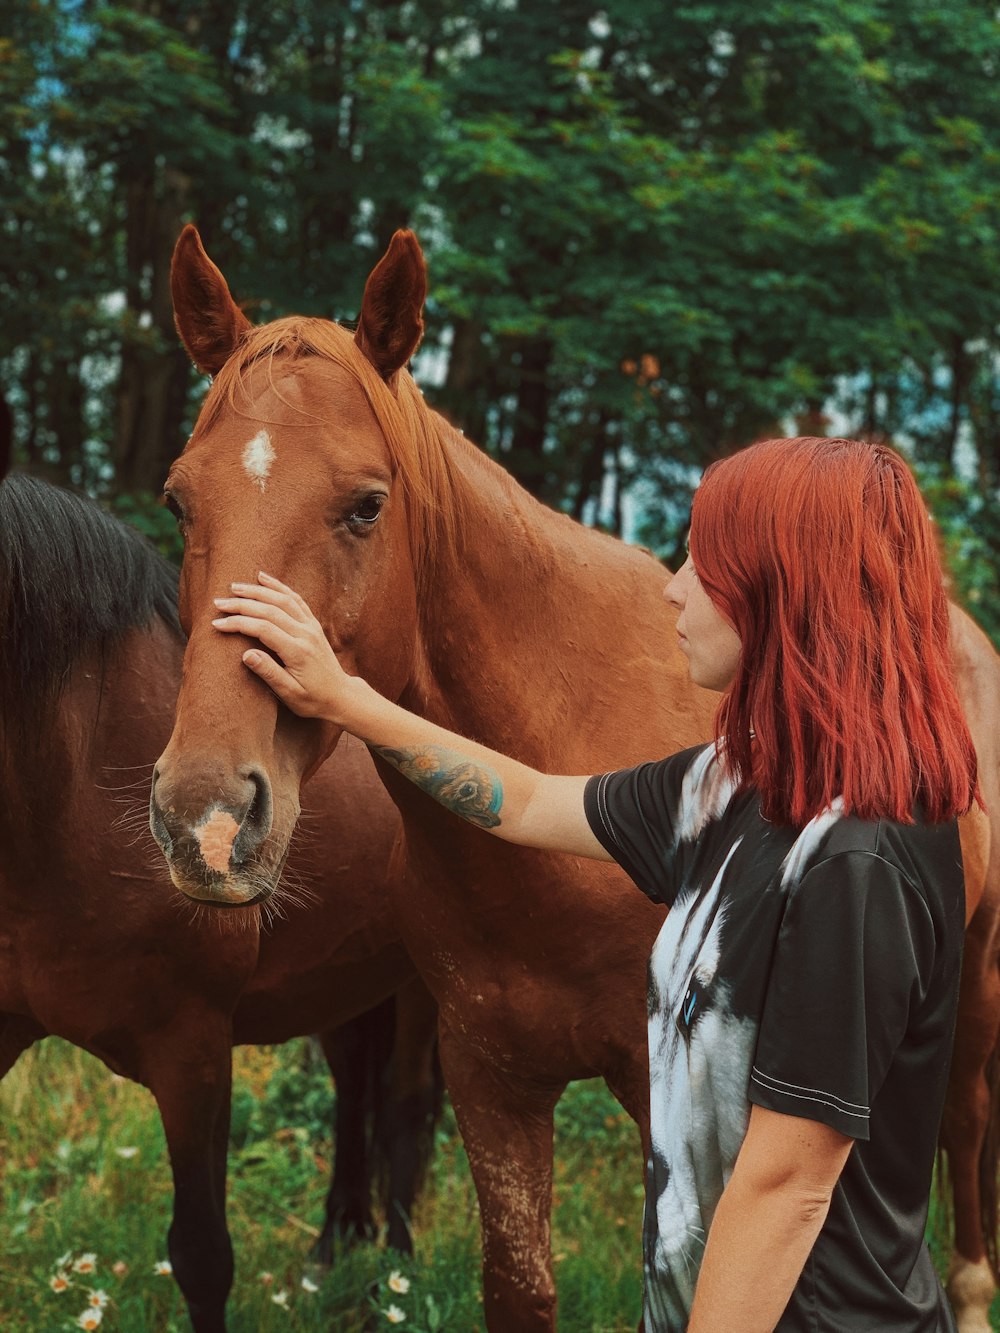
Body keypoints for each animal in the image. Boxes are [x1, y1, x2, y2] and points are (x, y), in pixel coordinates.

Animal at [0, 466, 437, 1333]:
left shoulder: (191, 1045)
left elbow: (202, 1253)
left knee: (405, 1110)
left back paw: (391, 1283)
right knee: (352, 1087)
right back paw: (333, 1248)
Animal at [154, 229, 1000, 1333]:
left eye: (366, 505)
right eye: (179, 500)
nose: (206, 821)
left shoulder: (659, 1088)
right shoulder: (492, 1078)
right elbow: (518, 1283)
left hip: (975, 979)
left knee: (966, 1141)